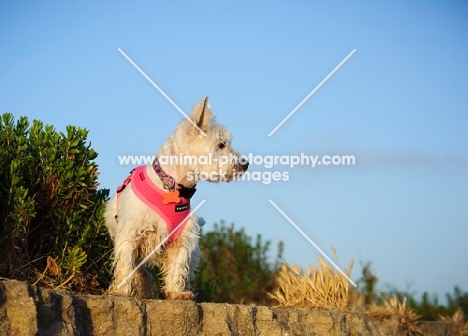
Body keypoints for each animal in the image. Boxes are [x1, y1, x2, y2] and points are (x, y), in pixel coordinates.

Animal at [103, 97, 247, 300]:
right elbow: (126, 264)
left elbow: (178, 267)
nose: (246, 164)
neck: (171, 187)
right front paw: (120, 291)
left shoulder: (183, 240)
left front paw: (176, 293)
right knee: (141, 271)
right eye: (221, 144)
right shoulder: (131, 235)